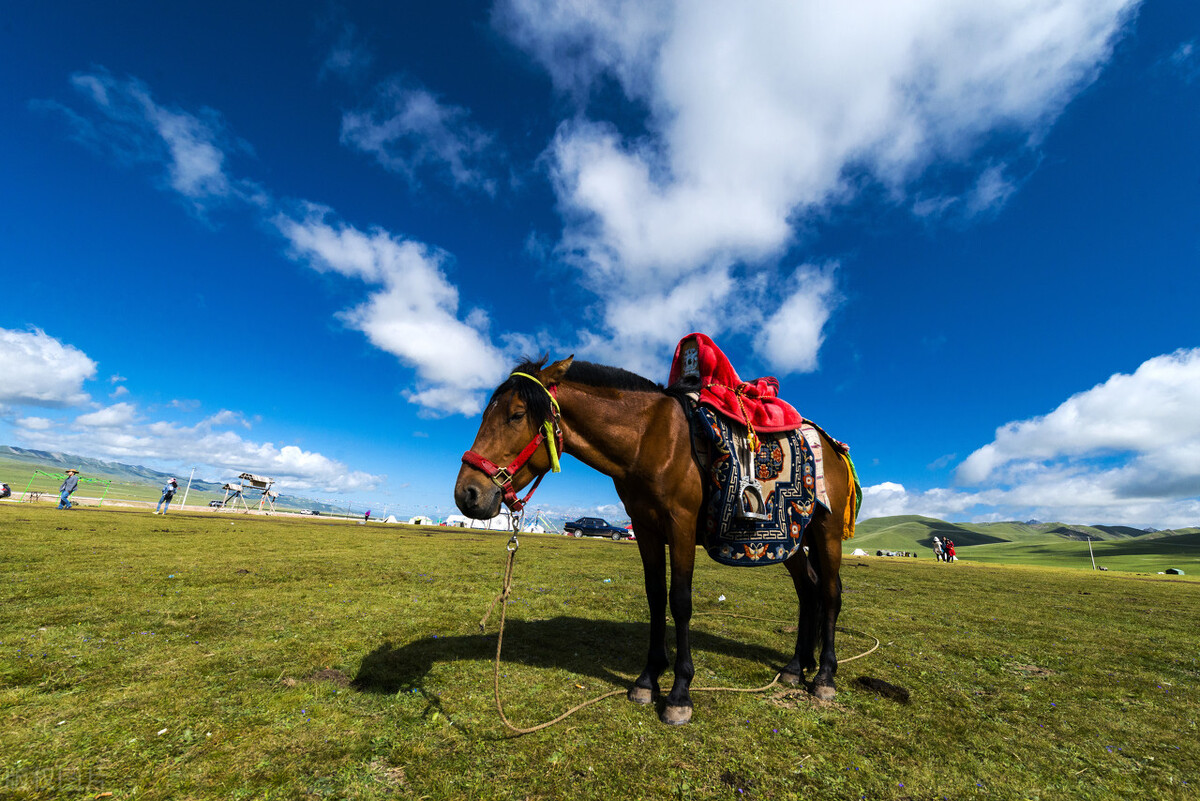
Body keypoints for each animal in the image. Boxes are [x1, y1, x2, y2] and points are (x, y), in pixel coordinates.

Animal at [451, 357, 854, 724]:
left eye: (516, 415)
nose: (467, 494)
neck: (649, 438)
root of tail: (830, 445)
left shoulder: (681, 525)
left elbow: (680, 601)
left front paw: (679, 693)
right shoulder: (645, 528)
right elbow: (656, 596)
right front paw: (648, 680)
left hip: (827, 530)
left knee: (830, 592)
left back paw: (824, 676)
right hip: (793, 540)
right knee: (809, 591)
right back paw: (796, 667)